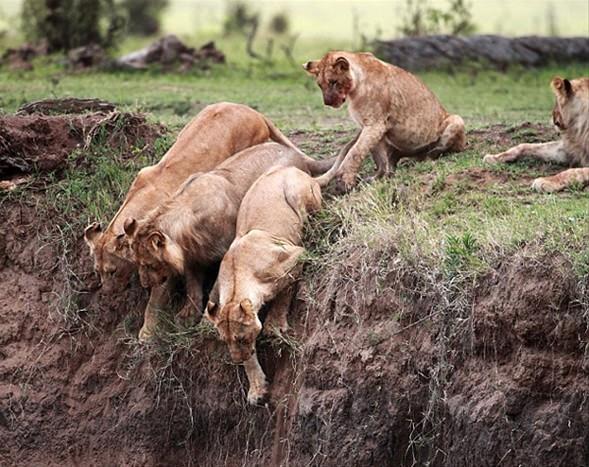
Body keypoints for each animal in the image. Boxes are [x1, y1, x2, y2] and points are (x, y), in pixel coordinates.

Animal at [84, 101, 312, 340]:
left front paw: (147, 332)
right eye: (98, 271)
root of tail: (250, 110)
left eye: (112, 270)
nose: (106, 294)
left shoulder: (169, 260)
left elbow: (156, 299)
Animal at [121, 143, 330, 344]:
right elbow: (193, 287)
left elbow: (215, 288)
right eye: (137, 263)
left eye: (149, 264)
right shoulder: (192, 257)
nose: (145, 284)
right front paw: (188, 316)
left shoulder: (225, 251)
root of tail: (297, 154)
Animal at [203, 165, 322, 406]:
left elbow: (284, 292)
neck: (237, 280)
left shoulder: (296, 255)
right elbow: (251, 359)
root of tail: (294, 168)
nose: (236, 360)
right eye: (225, 341)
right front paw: (257, 389)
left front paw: (274, 325)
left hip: (297, 195)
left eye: (240, 338)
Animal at [304, 50, 464, 191]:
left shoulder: (375, 124)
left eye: (334, 82)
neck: (355, 89)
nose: (327, 102)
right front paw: (378, 177)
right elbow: (379, 158)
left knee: (441, 150)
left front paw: (345, 182)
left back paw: (423, 156)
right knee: (394, 158)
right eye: (320, 85)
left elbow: (355, 152)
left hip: (456, 119)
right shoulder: (374, 127)